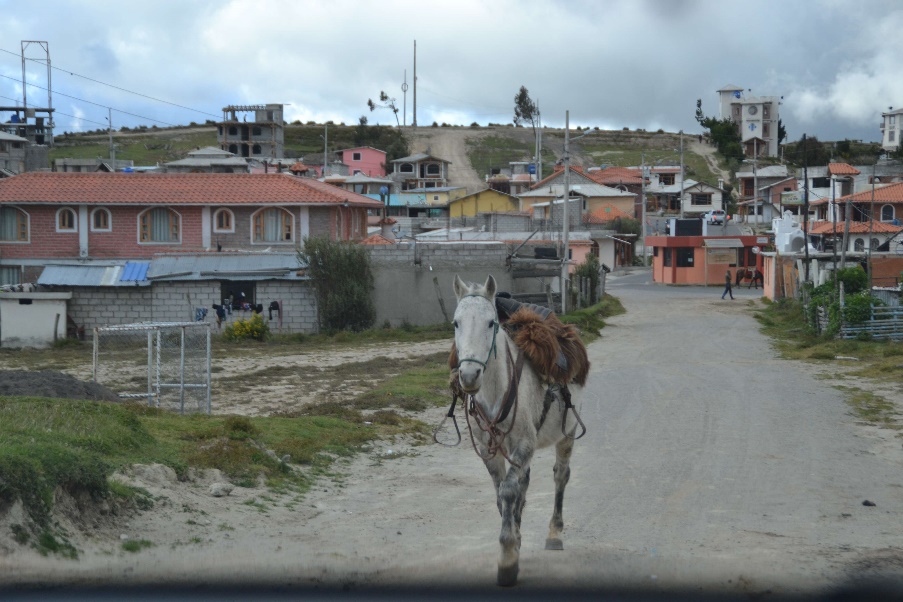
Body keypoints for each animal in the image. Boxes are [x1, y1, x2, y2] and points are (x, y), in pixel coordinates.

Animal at [452, 274, 588, 584]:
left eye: (491, 323)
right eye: (456, 323)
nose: (469, 375)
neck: (497, 391)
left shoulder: (523, 444)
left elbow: (508, 491)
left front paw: (507, 557)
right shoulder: (490, 451)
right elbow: (501, 493)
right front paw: (514, 538)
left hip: (567, 435)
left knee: (560, 477)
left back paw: (554, 533)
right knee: (524, 481)